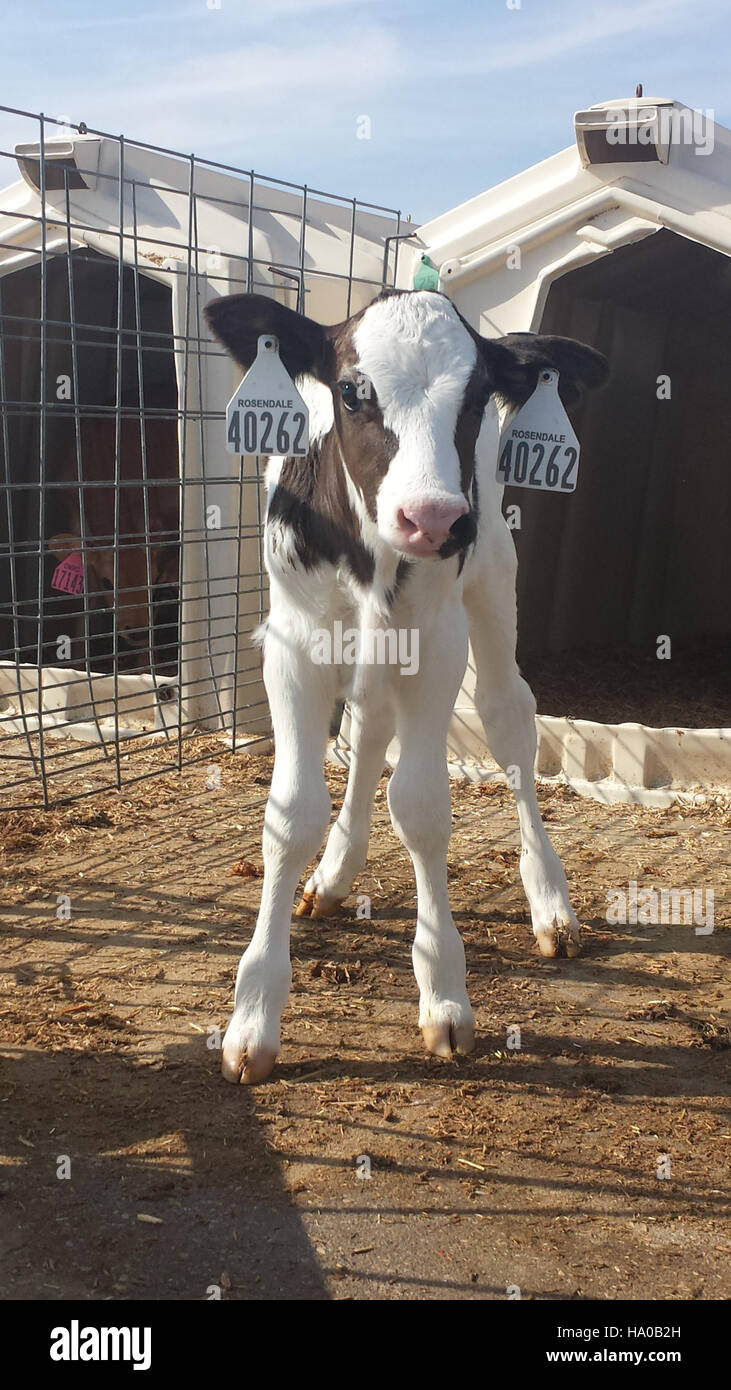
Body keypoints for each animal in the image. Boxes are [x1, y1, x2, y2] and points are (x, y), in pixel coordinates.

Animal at [205, 288, 607, 1083]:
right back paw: (333, 876)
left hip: (493, 577)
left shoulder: (437, 639)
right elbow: (291, 813)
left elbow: (421, 808)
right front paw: (254, 1014)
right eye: (351, 391)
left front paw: (444, 992)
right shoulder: (292, 643)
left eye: (478, 395)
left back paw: (550, 902)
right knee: (368, 726)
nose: (433, 518)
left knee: (507, 717)